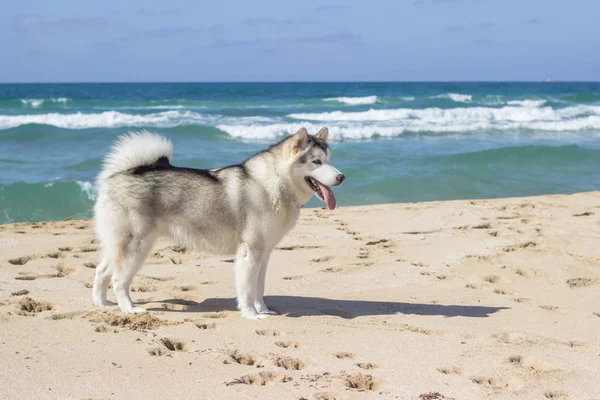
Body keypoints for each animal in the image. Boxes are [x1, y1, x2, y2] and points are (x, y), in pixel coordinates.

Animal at [92, 128, 344, 318]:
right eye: (316, 162)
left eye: (330, 161)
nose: (341, 177)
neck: (273, 183)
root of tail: (124, 172)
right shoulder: (250, 253)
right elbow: (247, 289)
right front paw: (251, 314)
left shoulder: (264, 254)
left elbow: (259, 287)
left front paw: (264, 310)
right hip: (137, 247)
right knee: (118, 279)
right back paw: (130, 309)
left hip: (121, 245)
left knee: (101, 270)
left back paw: (102, 303)